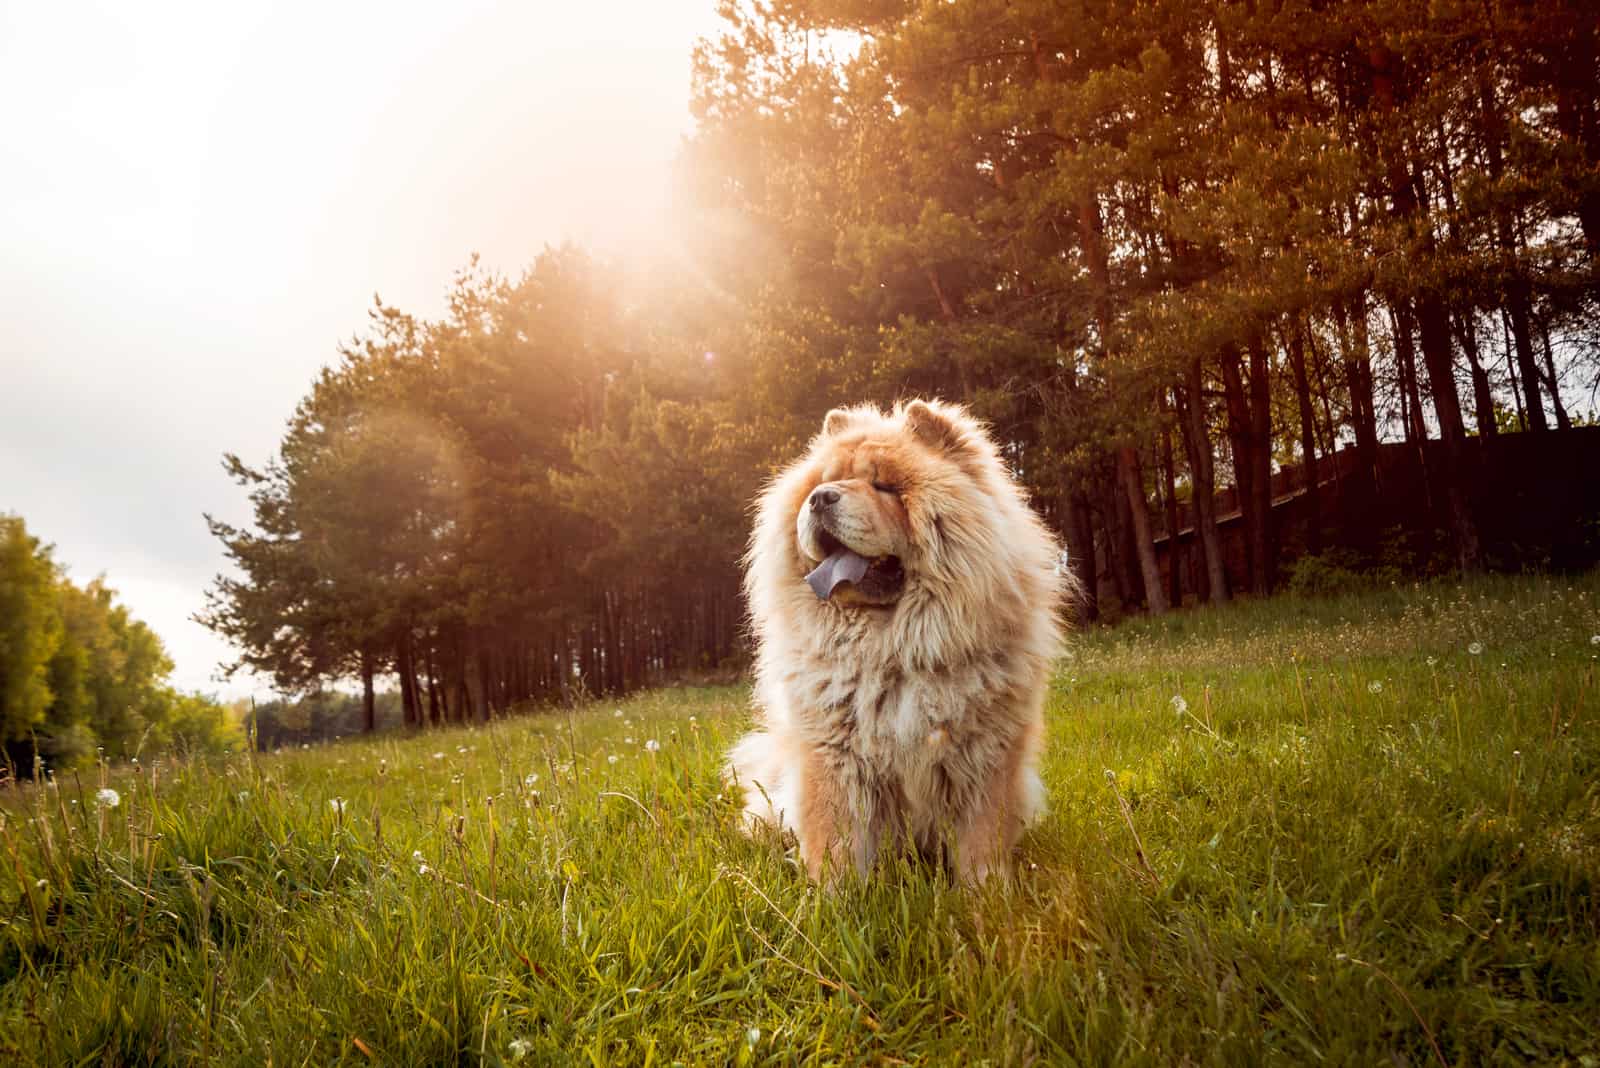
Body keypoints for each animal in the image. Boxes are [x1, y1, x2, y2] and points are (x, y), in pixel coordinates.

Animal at [732, 399, 1062, 882]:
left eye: (885, 486)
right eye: (823, 482)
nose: (820, 497)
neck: (892, 649)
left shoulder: (986, 758)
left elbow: (981, 840)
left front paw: (987, 893)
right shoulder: (834, 759)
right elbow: (837, 841)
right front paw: (836, 896)